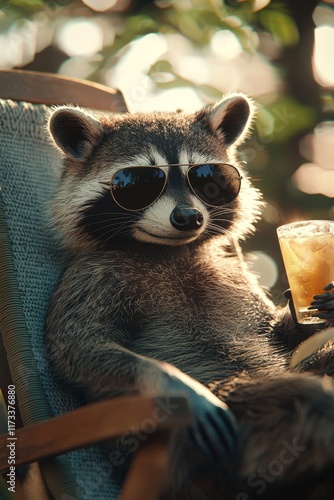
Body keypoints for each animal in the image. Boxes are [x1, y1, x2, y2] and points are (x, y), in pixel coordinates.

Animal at [45, 94, 334, 500]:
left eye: (208, 179)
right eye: (139, 183)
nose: (188, 217)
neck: (169, 250)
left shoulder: (234, 269)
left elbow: (273, 333)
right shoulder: (91, 276)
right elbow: (76, 348)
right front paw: (169, 379)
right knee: (302, 400)